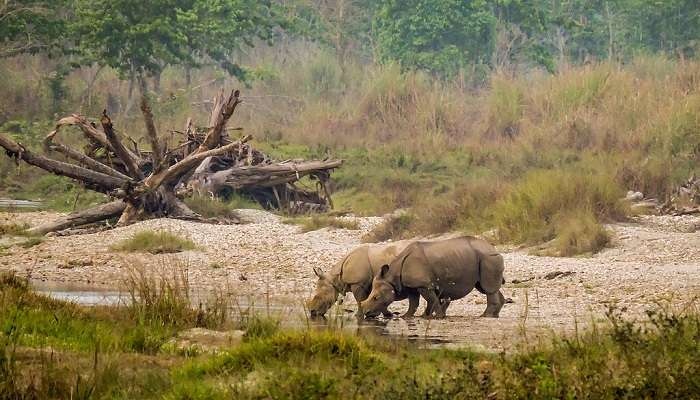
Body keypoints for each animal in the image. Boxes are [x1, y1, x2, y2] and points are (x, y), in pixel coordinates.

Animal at [360, 238, 504, 318]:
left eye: (376, 298)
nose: (367, 313)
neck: (391, 277)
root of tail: (494, 248)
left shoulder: (423, 284)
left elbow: (431, 300)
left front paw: (439, 317)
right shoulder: (413, 285)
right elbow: (416, 302)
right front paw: (410, 316)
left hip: (488, 258)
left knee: (488, 289)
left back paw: (485, 316)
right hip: (484, 258)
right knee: (487, 287)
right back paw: (495, 315)